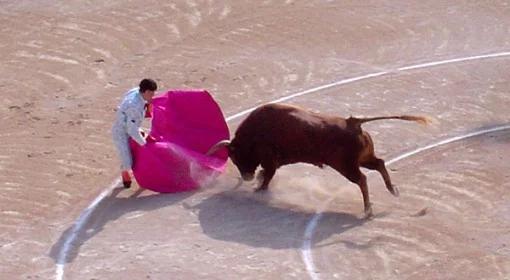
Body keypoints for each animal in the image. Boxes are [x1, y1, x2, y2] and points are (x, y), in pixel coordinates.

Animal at [206, 103, 426, 217]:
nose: (246, 177)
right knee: (379, 163)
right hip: (362, 159)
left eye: (236, 157)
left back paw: (368, 209)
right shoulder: (273, 161)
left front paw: (258, 189)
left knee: (362, 179)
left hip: (346, 166)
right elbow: (267, 175)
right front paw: (258, 184)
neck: (255, 132)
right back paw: (392, 190)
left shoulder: (270, 160)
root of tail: (353, 123)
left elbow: (268, 176)